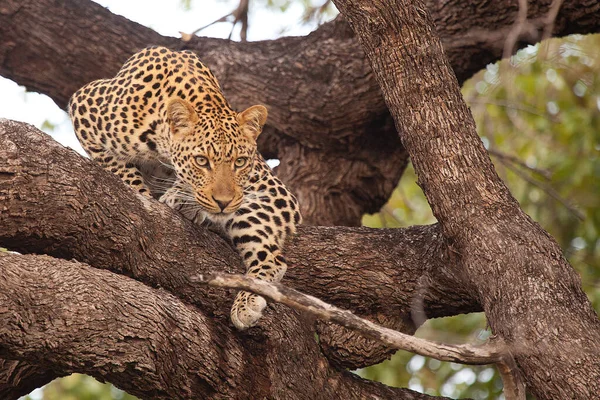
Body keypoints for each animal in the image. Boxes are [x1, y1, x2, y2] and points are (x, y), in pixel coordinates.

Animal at [68, 45, 302, 330]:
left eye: (240, 162)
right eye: (201, 161)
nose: (223, 202)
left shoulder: (274, 192)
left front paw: (182, 198)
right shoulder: (84, 106)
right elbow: (119, 168)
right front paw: (145, 193)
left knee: (274, 260)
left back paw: (247, 302)